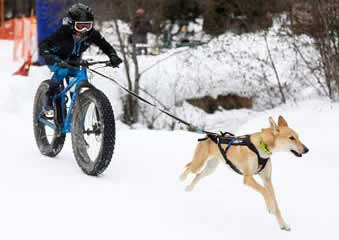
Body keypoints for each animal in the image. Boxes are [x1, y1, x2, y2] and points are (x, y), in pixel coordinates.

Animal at [182, 116, 310, 231]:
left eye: (298, 137)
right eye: (291, 138)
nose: (307, 149)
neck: (262, 146)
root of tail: (210, 135)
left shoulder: (267, 180)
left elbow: (275, 202)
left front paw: (283, 224)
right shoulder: (248, 178)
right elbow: (265, 192)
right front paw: (269, 206)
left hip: (210, 168)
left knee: (198, 175)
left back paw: (189, 188)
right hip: (198, 164)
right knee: (188, 167)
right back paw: (181, 179)